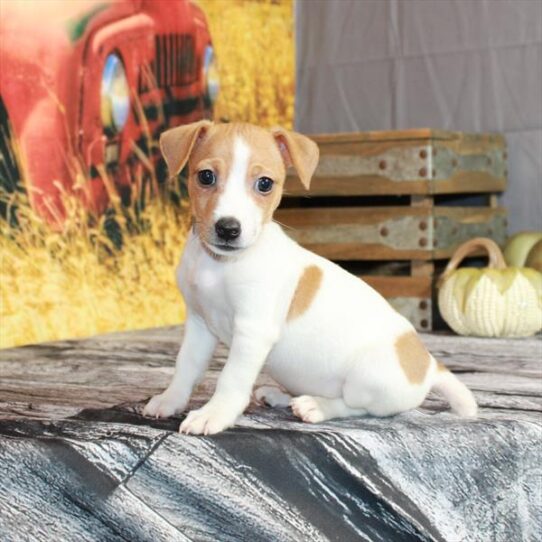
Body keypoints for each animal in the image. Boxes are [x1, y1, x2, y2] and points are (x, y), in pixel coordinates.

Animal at [142, 122, 478, 438]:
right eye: (206, 177)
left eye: (265, 183)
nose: (228, 228)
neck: (220, 265)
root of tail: (430, 366)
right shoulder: (200, 325)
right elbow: (186, 366)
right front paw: (170, 400)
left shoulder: (252, 331)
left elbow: (231, 377)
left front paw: (214, 414)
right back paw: (279, 396)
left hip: (366, 381)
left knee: (357, 407)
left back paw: (314, 406)